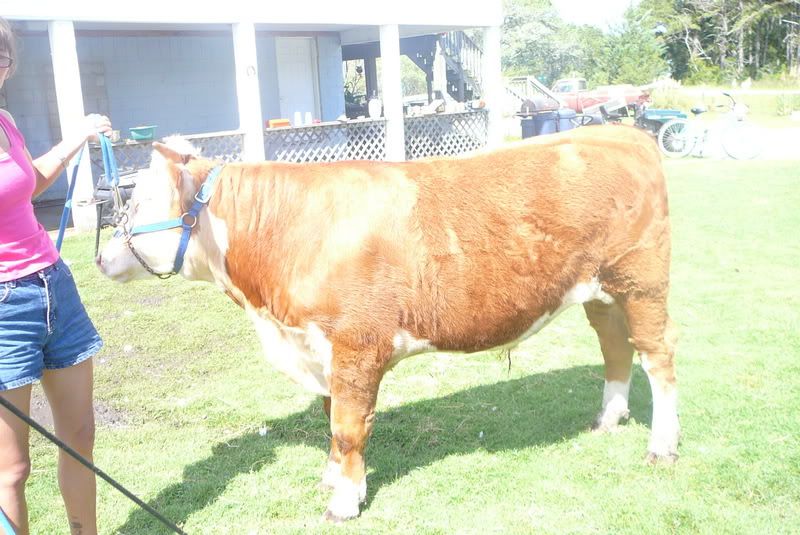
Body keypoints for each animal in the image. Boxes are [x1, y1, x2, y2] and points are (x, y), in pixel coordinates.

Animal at [96, 125, 679, 522]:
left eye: (141, 201)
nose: (100, 258)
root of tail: (620, 131)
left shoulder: (356, 343)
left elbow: (347, 426)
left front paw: (344, 502)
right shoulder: (321, 349)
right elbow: (331, 420)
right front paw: (332, 480)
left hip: (642, 283)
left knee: (658, 359)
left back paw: (662, 447)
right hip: (600, 292)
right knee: (616, 348)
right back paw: (608, 419)